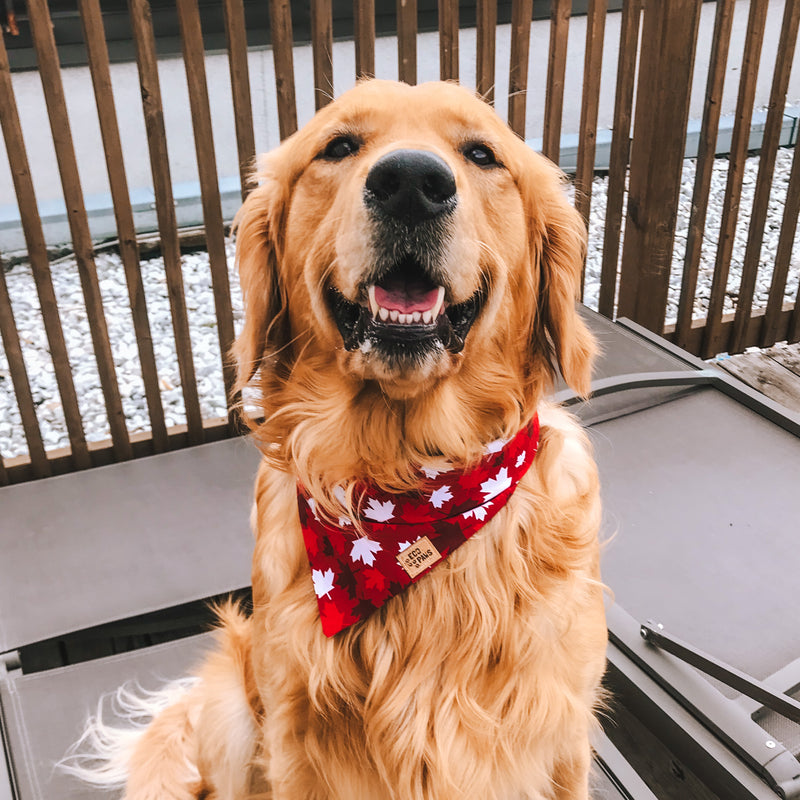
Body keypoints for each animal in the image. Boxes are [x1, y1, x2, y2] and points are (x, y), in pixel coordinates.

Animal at [73, 76, 608, 800]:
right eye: (339, 146)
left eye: (480, 153)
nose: (411, 182)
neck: (405, 490)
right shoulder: (295, 739)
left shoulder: (562, 736)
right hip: (236, 714)